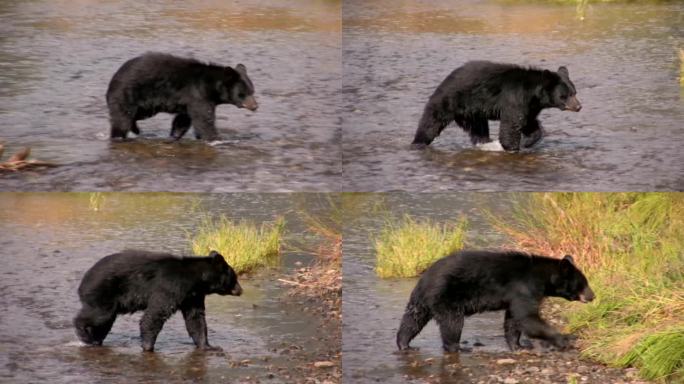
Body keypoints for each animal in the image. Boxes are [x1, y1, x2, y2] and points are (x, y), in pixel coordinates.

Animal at [72, 250, 242, 352]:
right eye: (235, 277)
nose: (241, 290)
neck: (196, 279)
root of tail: (84, 280)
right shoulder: (171, 287)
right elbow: (155, 314)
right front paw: (148, 347)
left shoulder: (193, 296)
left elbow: (195, 319)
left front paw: (209, 346)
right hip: (103, 292)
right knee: (98, 316)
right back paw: (84, 335)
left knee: (104, 323)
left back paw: (95, 340)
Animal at [105, 51, 258, 140]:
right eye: (243, 94)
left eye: (252, 91)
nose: (255, 106)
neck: (210, 86)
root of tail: (113, 79)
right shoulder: (198, 95)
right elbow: (204, 120)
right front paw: (216, 139)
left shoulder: (189, 102)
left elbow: (183, 120)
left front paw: (175, 135)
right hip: (128, 95)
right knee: (122, 119)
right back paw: (119, 135)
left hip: (145, 106)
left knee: (133, 116)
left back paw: (135, 129)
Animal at [396, 250, 592, 352]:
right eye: (583, 284)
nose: (593, 296)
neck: (541, 277)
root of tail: (425, 279)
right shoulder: (524, 288)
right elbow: (527, 318)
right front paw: (563, 340)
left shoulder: (516, 296)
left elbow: (513, 319)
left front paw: (518, 346)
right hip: (447, 298)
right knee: (452, 324)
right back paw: (458, 347)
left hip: (421, 302)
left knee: (411, 321)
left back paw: (404, 345)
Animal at [412, 60, 584, 151]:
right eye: (565, 95)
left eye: (574, 92)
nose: (579, 107)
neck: (534, 95)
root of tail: (446, 78)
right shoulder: (515, 100)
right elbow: (511, 125)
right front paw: (511, 147)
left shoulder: (529, 107)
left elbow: (529, 124)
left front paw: (528, 142)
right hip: (449, 101)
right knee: (430, 123)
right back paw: (419, 142)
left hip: (473, 112)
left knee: (479, 129)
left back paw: (485, 142)